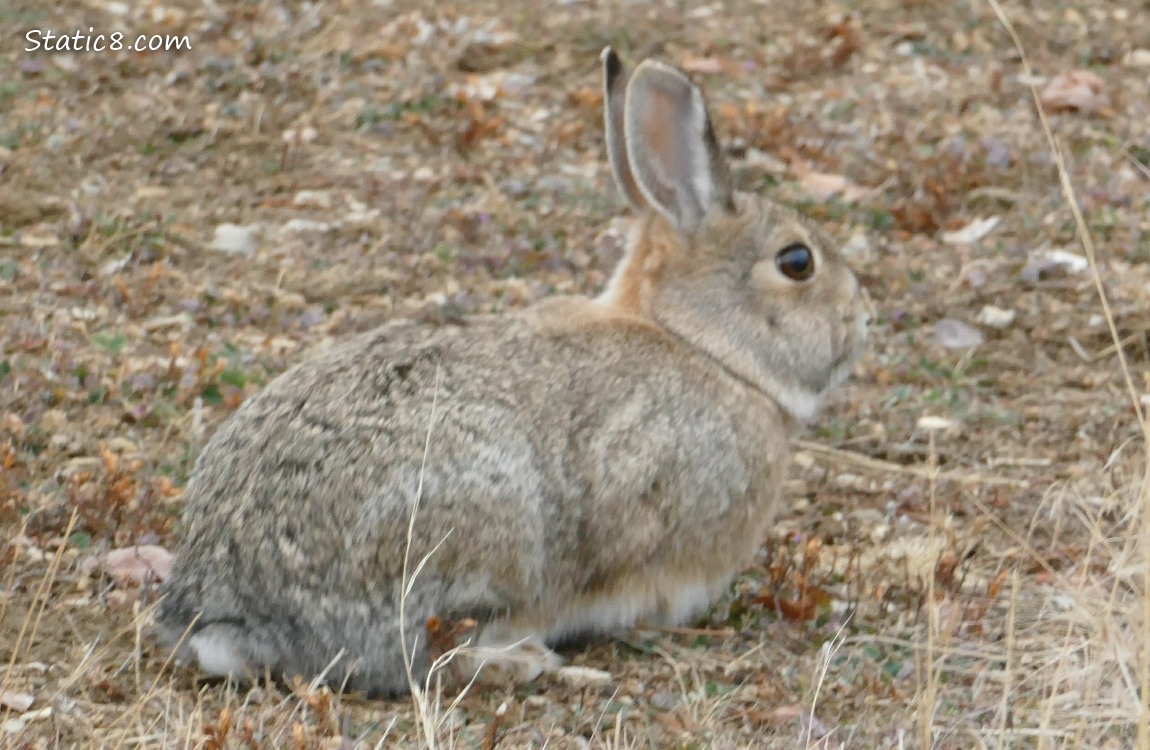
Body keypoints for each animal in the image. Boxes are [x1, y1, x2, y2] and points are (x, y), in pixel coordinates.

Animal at [155, 48, 869, 699]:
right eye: (797, 262)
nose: (862, 317)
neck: (700, 344)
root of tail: (232, 616)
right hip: (476, 543)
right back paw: (529, 662)